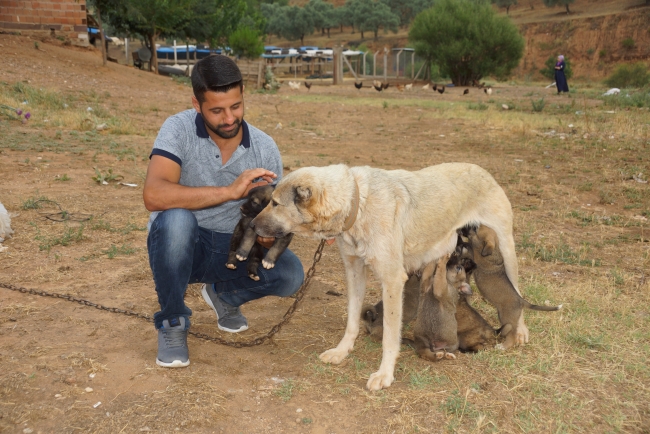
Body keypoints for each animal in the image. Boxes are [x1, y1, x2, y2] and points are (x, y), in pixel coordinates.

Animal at [251, 164, 520, 392]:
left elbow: (390, 338)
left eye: (275, 203)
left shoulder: (392, 281)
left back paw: (518, 336)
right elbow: (352, 322)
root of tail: (482, 170)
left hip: (507, 251)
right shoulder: (354, 272)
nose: (251, 225)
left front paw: (385, 374)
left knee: (516, 294)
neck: (357, 204)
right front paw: (342, 351)